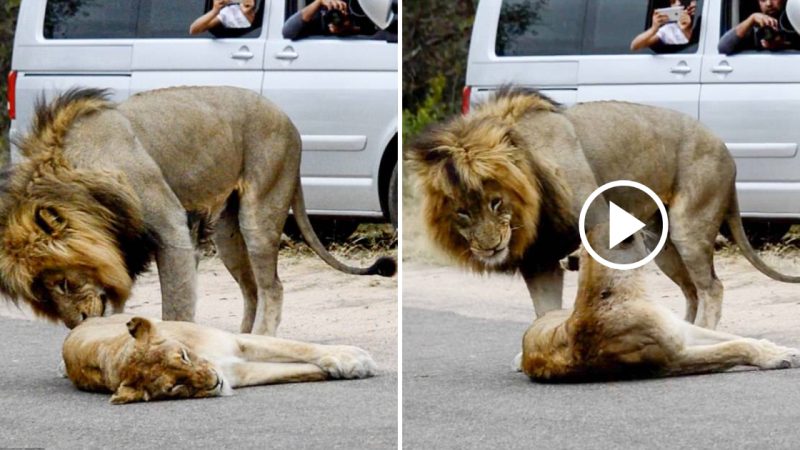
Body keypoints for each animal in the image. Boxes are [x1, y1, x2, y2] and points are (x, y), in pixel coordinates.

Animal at [1, 87, 396, 334]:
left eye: (65, 283)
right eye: (45, 297)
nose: (78, 323)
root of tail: (290, 122)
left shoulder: (170, 226)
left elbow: (175, 304)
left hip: (261, 209)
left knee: (273, 288)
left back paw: (262, 337)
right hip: (227, 234)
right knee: (252, 289)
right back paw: (243, 340)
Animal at [62, 312, 376, 404]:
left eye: (183, 356)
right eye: (176, 387)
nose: (214, 381)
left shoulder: (238, 341)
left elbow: (299, 348)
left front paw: (351, 359)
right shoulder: (240, 373)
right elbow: (302, 369)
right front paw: (342, 367)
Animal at [406, 87, 800, 330]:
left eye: (495, 200)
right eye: (461, 212)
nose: (490, 248)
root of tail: (727, 152)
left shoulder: (602, 227)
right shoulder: (539, 258)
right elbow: (545, 310)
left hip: (690, 226)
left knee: (712, 288)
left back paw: (705, 332)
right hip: (662, 242)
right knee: (692, 290)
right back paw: (687, 332)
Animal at [520, 223, 796, 382]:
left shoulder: (682, 330)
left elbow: (732, 337)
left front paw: (773, 346)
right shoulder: (673, 358)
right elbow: (732, 348)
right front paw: (779, 356)